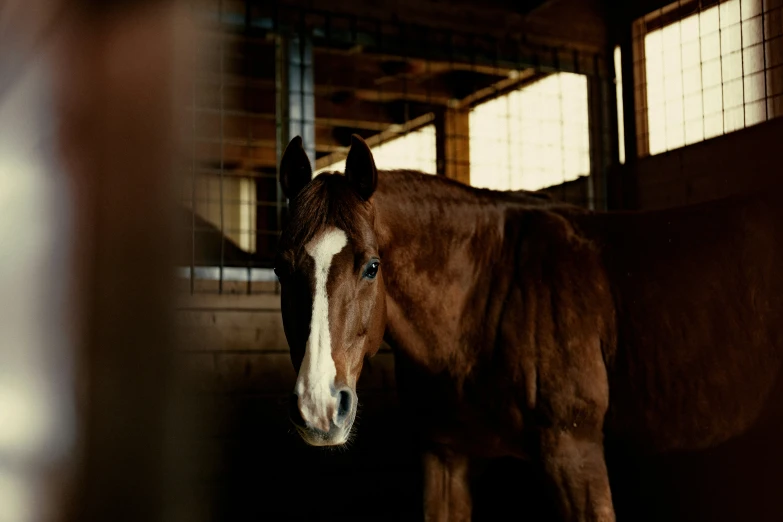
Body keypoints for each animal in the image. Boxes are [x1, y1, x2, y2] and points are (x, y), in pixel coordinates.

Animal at [274, 135, 783, 520]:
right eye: (280, 269)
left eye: (372, 267)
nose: (319, 408)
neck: (485, 294)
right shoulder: (445, 456)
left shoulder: (573, 454)